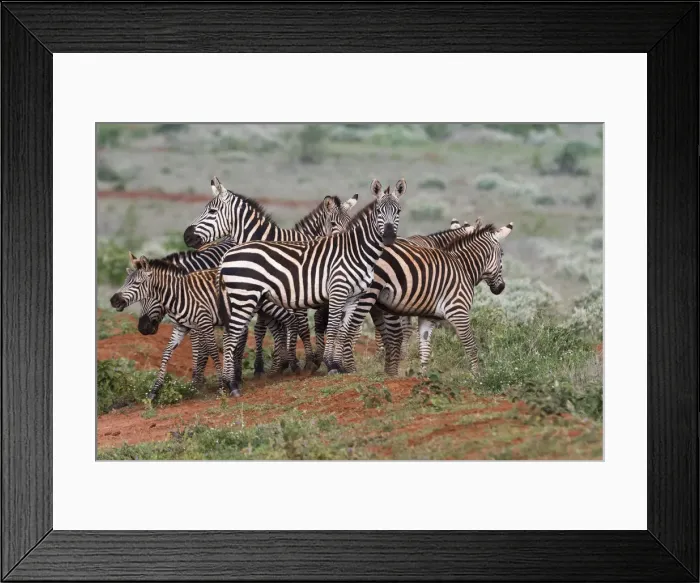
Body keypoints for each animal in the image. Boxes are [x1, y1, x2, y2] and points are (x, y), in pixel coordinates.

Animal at [110, 257, 302, 400]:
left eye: (137, 284)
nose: (113, 301)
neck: (180, 295)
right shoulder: (181, 327)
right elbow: (166, 353)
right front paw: (154, 391)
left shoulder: (204, 322)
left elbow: (212, 352)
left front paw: (222, 386)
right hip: (263, 309)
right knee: (279, 327)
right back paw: (279, 367)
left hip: (271, 304)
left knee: (291, 320)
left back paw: (293, 364)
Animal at [183, 177, 358, 369]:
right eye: (333, 224)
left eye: (212, 211)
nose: (186, 236)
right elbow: (276, 328)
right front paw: (283, 362)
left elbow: (299, 327)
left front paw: (301, 362)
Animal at [216, 179, 406, 396]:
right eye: (379, 211)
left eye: (398, 211)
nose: (389, 237)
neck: (356, 251)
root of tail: (227, 255)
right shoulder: (338, 290)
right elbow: (332, 327)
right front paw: (331, 364)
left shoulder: (353, 296)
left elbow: (343, 330)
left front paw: (340, 365)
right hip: (244, 296)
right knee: (231, 337)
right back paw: (232, 385)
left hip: (242, 298)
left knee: (229, 335)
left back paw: (230, 382)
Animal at [338, 221, 513, 376]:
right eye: (502, 255)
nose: (501, 288)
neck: (463, 267)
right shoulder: (458, 311)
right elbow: (470, 344)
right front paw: (477, 376)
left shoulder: (427, 316)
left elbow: (424, 346)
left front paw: (423, 376)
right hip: (366, 297)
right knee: (350, 330)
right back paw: (351, 368)